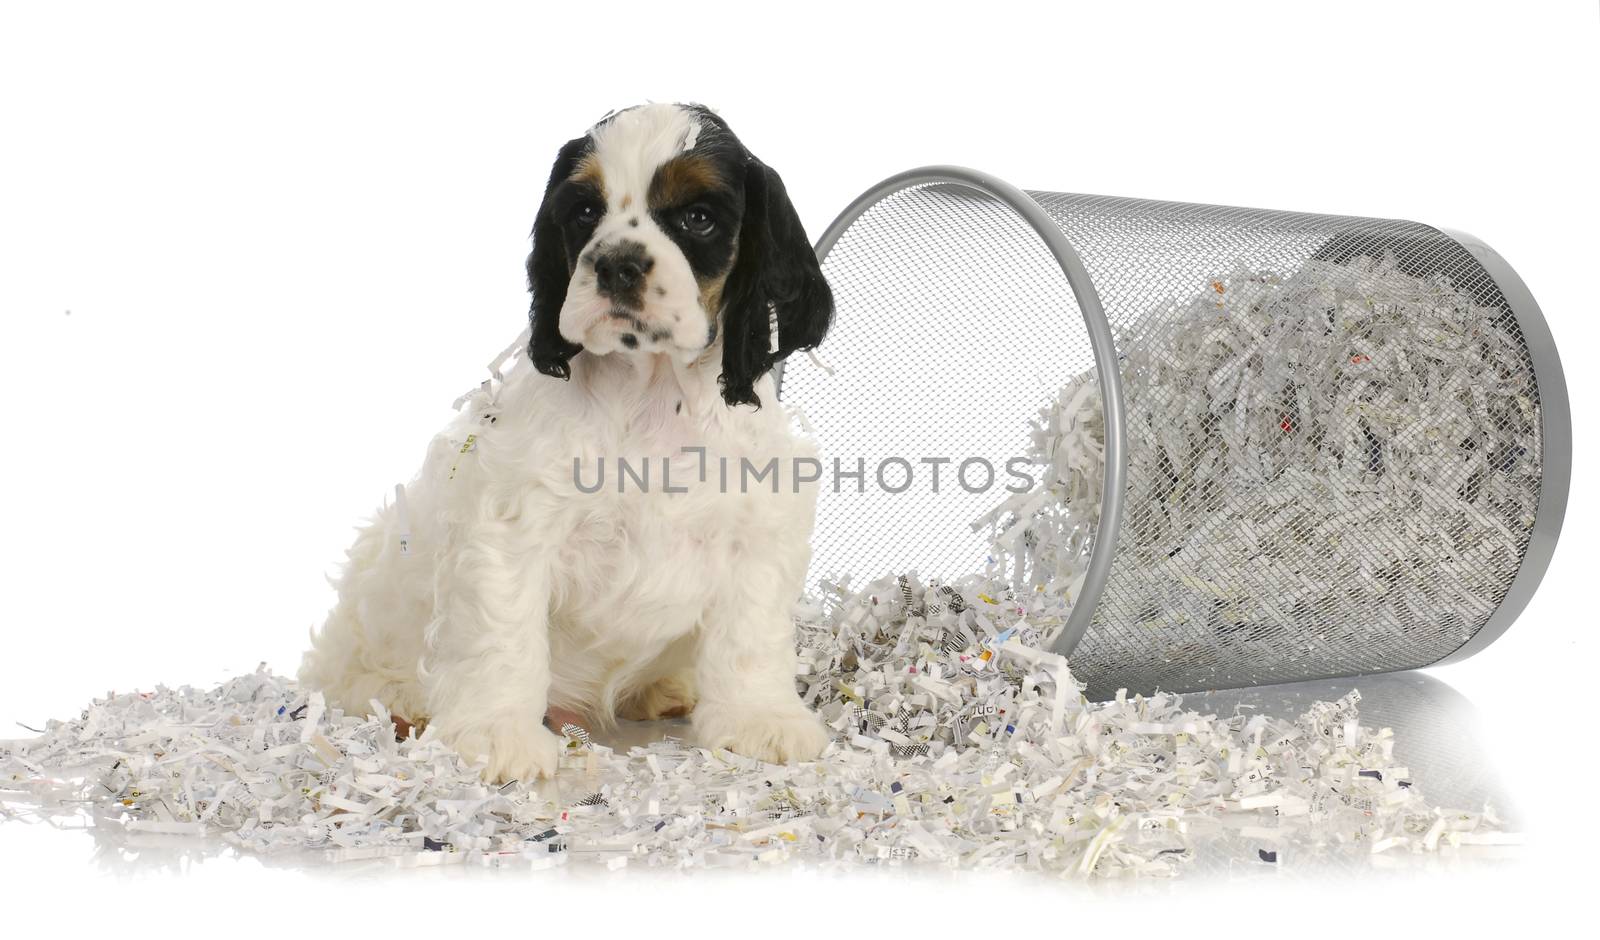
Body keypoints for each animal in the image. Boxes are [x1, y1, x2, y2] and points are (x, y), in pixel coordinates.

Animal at [304, 103, 844, 783]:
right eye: (585, 210)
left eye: (698, 217)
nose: (615, 263)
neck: (649, 394)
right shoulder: (511, 530)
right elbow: (504, 635)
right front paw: (498, 737)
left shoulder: (759, 528)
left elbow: (750, 636)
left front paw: (761, 721)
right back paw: (398, 698)